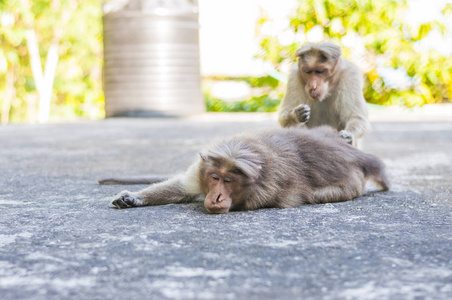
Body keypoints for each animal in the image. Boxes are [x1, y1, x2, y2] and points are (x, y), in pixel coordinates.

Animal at [108, 126, 388, 213]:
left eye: (229, 181)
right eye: (215, 177)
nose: (216, 196)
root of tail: (357, 155)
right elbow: (181, 188)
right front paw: (133, 197)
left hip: (352, 182)